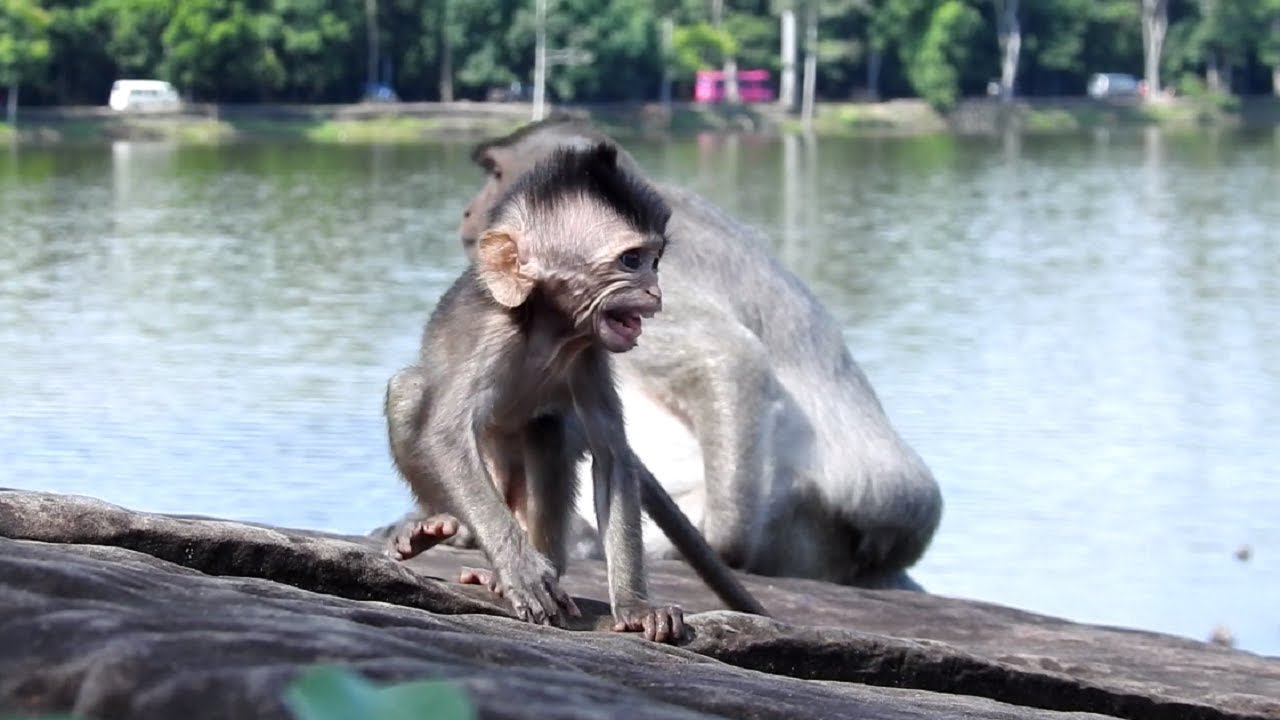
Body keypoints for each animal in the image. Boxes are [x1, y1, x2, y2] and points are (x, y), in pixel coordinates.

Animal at [383, 142, 767, 643]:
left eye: (655, 260)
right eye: (631, 261)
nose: (656, 292)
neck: (551, 326)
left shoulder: (590, 352)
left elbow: (612, 458)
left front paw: (636, 605)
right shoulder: (495, 334)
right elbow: (445, 433)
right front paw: (521, 571)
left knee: (546, 429)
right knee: (409, 392)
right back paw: (437, 528)